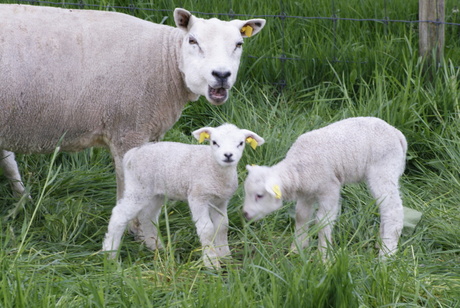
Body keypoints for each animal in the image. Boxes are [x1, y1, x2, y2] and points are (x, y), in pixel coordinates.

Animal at [0, 4, 264, 233]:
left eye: (239, 44)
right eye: (193, 41)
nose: (221, 74)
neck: (167, 62)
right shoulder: (129, 131)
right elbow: (128, 190)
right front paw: (136, 231)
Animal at [102, 124, 264, 268]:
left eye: (241, 143)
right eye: (214, 142)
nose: (228, 155)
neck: (213, 166)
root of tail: (132, 153)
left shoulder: (220, 200)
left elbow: (222, 226)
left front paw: (226, 257)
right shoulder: (197, 197)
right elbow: (207, 229)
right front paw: (211, 262)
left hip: (156, 192)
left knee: (147, 216)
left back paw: (155, 246)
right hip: (137, 188)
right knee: (119, 216)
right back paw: (110, 255)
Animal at [243, 117, 404, 258]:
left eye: (259, 195)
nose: (245, 214)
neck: (297, 169)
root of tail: (396, 132)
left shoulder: (329, 188)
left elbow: (322, 222)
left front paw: (324, 256)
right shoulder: (306, 193)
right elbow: (301, 215)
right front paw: (297, 248)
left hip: (384, 169)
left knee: (393, 210)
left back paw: (386, 254)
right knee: (385, 209)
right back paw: (380, 243)